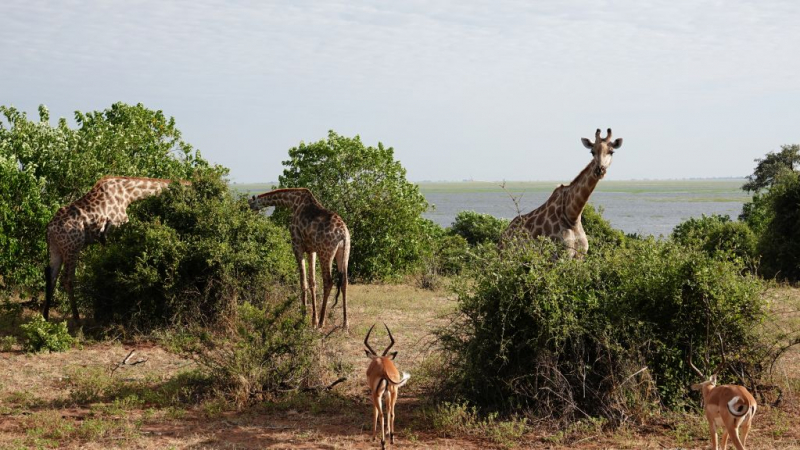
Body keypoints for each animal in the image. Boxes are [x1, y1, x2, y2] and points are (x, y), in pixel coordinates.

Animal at [45, 175, 191, 320]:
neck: (128, 194)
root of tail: (49, 229)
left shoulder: (104, 238)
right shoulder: (115, 229)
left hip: (56, 249)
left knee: (51, 277)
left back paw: (45, 317)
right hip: (72, 248)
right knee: (67, 279)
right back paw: (76, 318)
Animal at [250, 186, 350, 330]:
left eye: (250, 203)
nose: (249, 209)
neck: (293, 202)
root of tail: (343, 234)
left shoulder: (297, 245)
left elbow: (303, 281)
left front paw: (303, 317)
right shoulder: (311, 250)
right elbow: (312, 282)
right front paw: (313, 320)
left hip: (325, 253)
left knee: (328, 282)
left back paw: (322, 323)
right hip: (344, 252)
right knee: (344, 282)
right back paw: (345, 324)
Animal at [504, 128, 620, 258]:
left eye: (611, 152)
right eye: (592, 152)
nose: (599, 170)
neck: (572, 216)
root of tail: (503, 235)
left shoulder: (580, 256)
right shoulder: (560, 256)